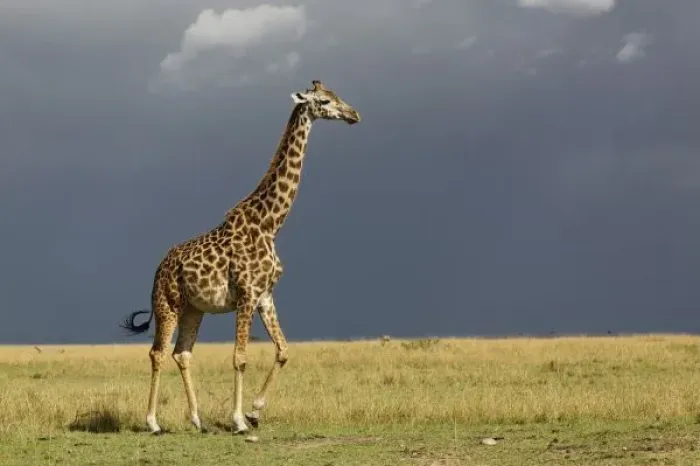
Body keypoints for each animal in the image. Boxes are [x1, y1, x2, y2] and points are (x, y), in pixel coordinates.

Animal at [120, 80, 361, 435]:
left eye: (337, 94)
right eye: (325, 101)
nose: (353, 114)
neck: (271, 224)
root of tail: (159, 268)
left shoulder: (265, 295)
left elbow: (283, 350)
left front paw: (255, 411)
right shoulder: (247, 294)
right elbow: (240, 358)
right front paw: (238, 420)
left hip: (194, 309)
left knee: (183, 354)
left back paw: (198, 420)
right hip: (168, 304)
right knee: (158, 353)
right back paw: (152, 422)